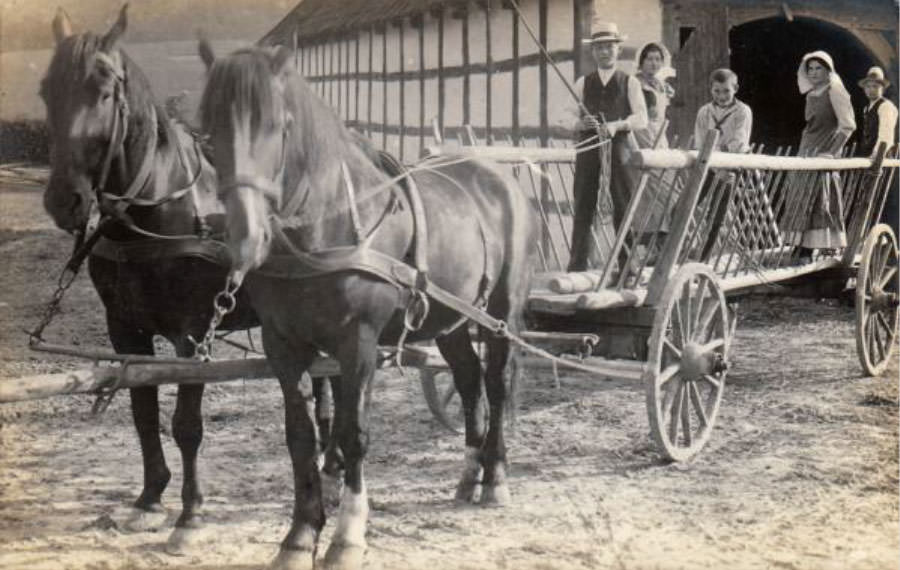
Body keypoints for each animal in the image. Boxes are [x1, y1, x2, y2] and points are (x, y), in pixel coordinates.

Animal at [37, 7, 284, 552]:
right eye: (45, 89)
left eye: (104, 91)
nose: (64, 200)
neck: (161, 205)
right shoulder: (125, 330)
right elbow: (143, 411)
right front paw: (149, 500)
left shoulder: (192, 335)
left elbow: (185, 424)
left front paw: (190, 516)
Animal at [200, 44, 536, 568]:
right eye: (209, 134)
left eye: (278, 126)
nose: (245, 240)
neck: (324, 226)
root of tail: (496, 173)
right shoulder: (283, 346)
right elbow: (301, 438)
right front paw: (299, 536)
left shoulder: (358, 341)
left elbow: (353, 432)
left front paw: (347, 536)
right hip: (452, 320)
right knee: (467, 380)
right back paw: (468, 475)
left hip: (500, 313)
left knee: (497, 383)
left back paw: (495, 478)